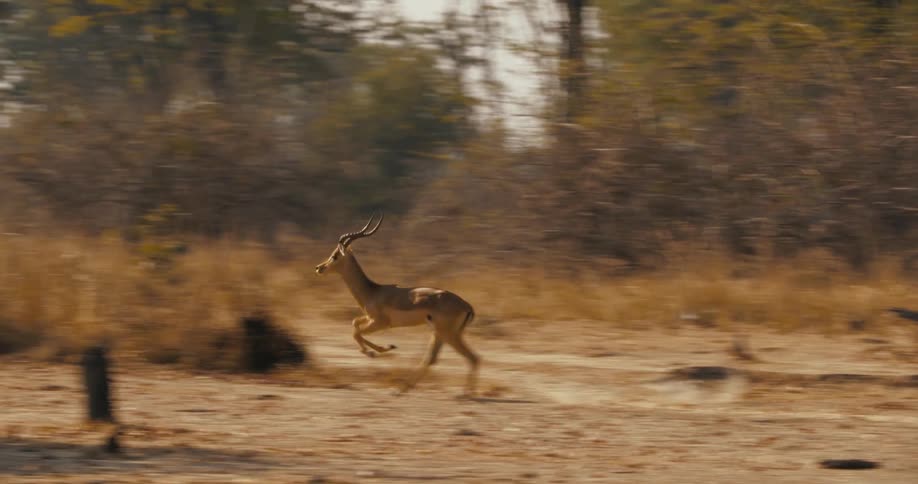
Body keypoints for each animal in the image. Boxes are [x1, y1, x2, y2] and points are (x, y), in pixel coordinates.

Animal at [315, 214, 480, 396]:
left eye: (335, 256)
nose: (319, 268)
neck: (373, 291)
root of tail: (467, 306)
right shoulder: (369, 318)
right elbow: (354, 324)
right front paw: (381, 349)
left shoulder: (380, 323)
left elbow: (356, 333)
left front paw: (377, 351)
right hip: (440, 334)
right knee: (432, 359)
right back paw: (403, 389)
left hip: (448, 334)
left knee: (472, 358)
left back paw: (465, 394)